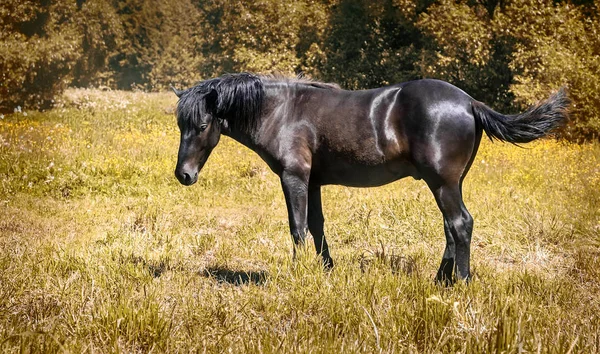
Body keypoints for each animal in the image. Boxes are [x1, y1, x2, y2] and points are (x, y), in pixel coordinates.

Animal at [172, 73, 568, 284]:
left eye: (202, 125)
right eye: (180, 125)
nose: (183, 175)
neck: (283, 112)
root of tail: (470, 101)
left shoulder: (294, 177)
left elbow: (297, 227)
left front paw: (300, 273)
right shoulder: (313, 182)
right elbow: (316, 225)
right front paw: (327, 270)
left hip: (442, 183)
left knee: (460, 224)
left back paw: (461, 281)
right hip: (448, 184)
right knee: (451, 228)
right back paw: (439, 279)